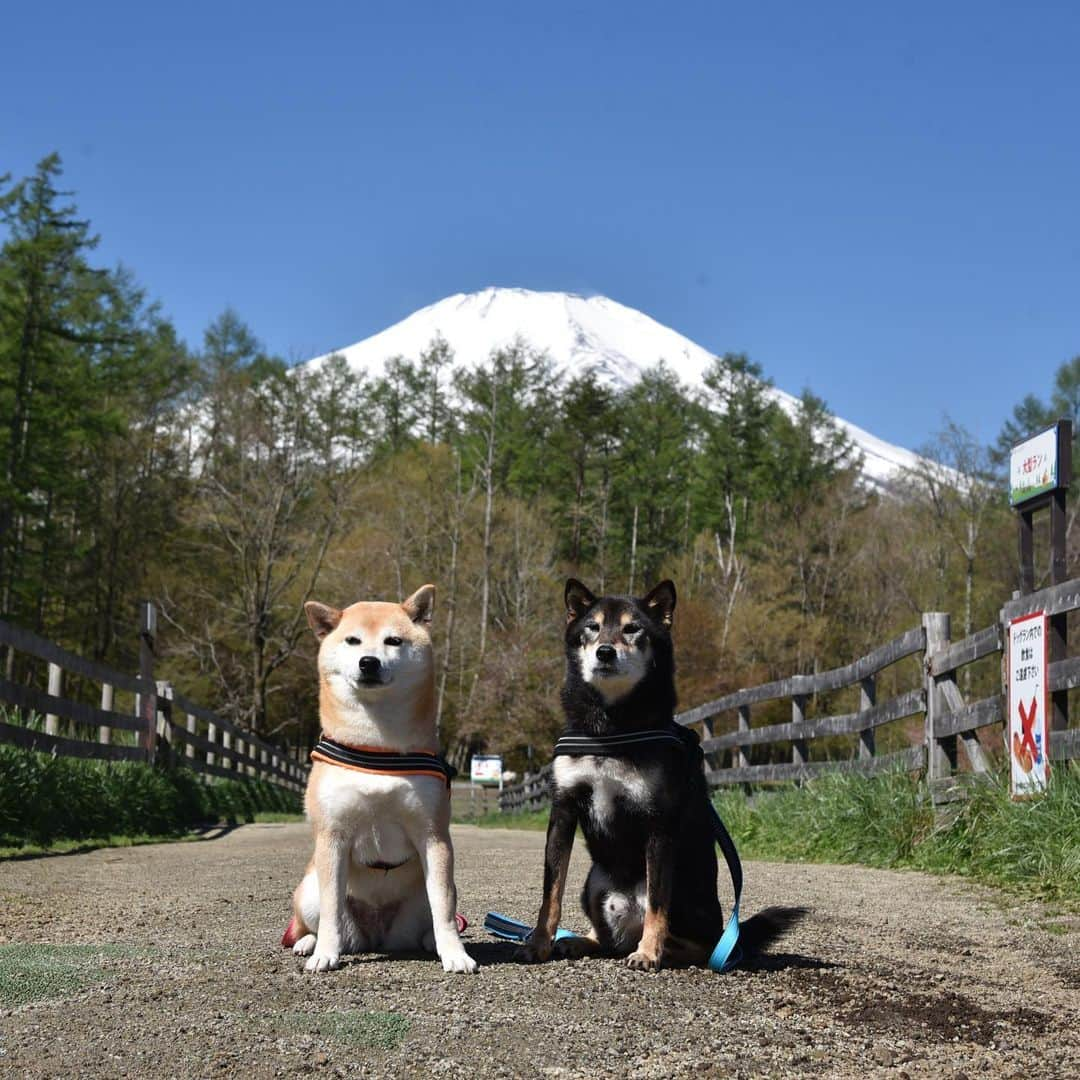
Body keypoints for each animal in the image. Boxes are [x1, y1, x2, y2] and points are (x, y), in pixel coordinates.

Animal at [282, 587, 477, 976]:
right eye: (353, 640)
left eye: (394, 641)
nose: (368, 662)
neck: (377, 746)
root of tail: (375, 937)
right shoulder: (333, 837)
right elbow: (330, 910)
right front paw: (325, 954)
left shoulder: (433, 835)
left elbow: (444, 909)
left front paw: (455, 953)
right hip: (309, 889)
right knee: (316, 920)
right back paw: (308, 943)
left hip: (423, 897)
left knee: (435, 913)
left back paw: (432, 942)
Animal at [518, 578, 807, 976]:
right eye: (591, 627)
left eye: (632, 629)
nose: (605, 652)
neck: (610, 728)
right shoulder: (563, 810)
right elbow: (552, 892)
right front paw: (538, 944)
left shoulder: (658, 821)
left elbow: (657, 903)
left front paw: (649, 953)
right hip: (594, 882)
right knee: (605, 938)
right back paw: (579, 941)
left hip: (685, 884)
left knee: (701, 944)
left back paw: (664, 950)